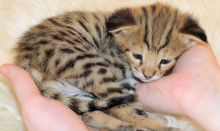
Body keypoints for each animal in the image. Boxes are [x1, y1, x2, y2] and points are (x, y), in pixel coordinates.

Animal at [13, 2, 206, 131]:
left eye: (165, 61)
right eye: (137, 55)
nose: (148, 76)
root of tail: (24, 58)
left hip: (76, 88)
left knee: (89, 112)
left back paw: (124, 126)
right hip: (88, 64)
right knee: (118, 109)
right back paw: (154, 127)